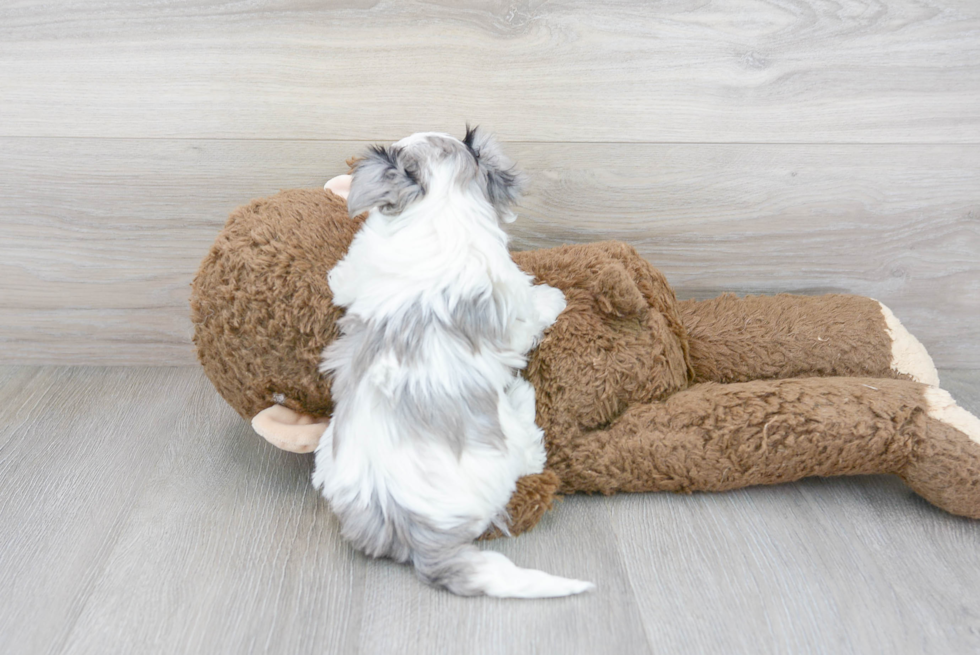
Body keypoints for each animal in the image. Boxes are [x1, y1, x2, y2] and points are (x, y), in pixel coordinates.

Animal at [310, 128, 592, 600]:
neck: (439, 204)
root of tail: (414, 529)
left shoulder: (356, 269)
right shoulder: (511, 306)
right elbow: (533, 311)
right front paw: (554, 297)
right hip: (504, 448)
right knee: (529, 456)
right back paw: (524, 403)